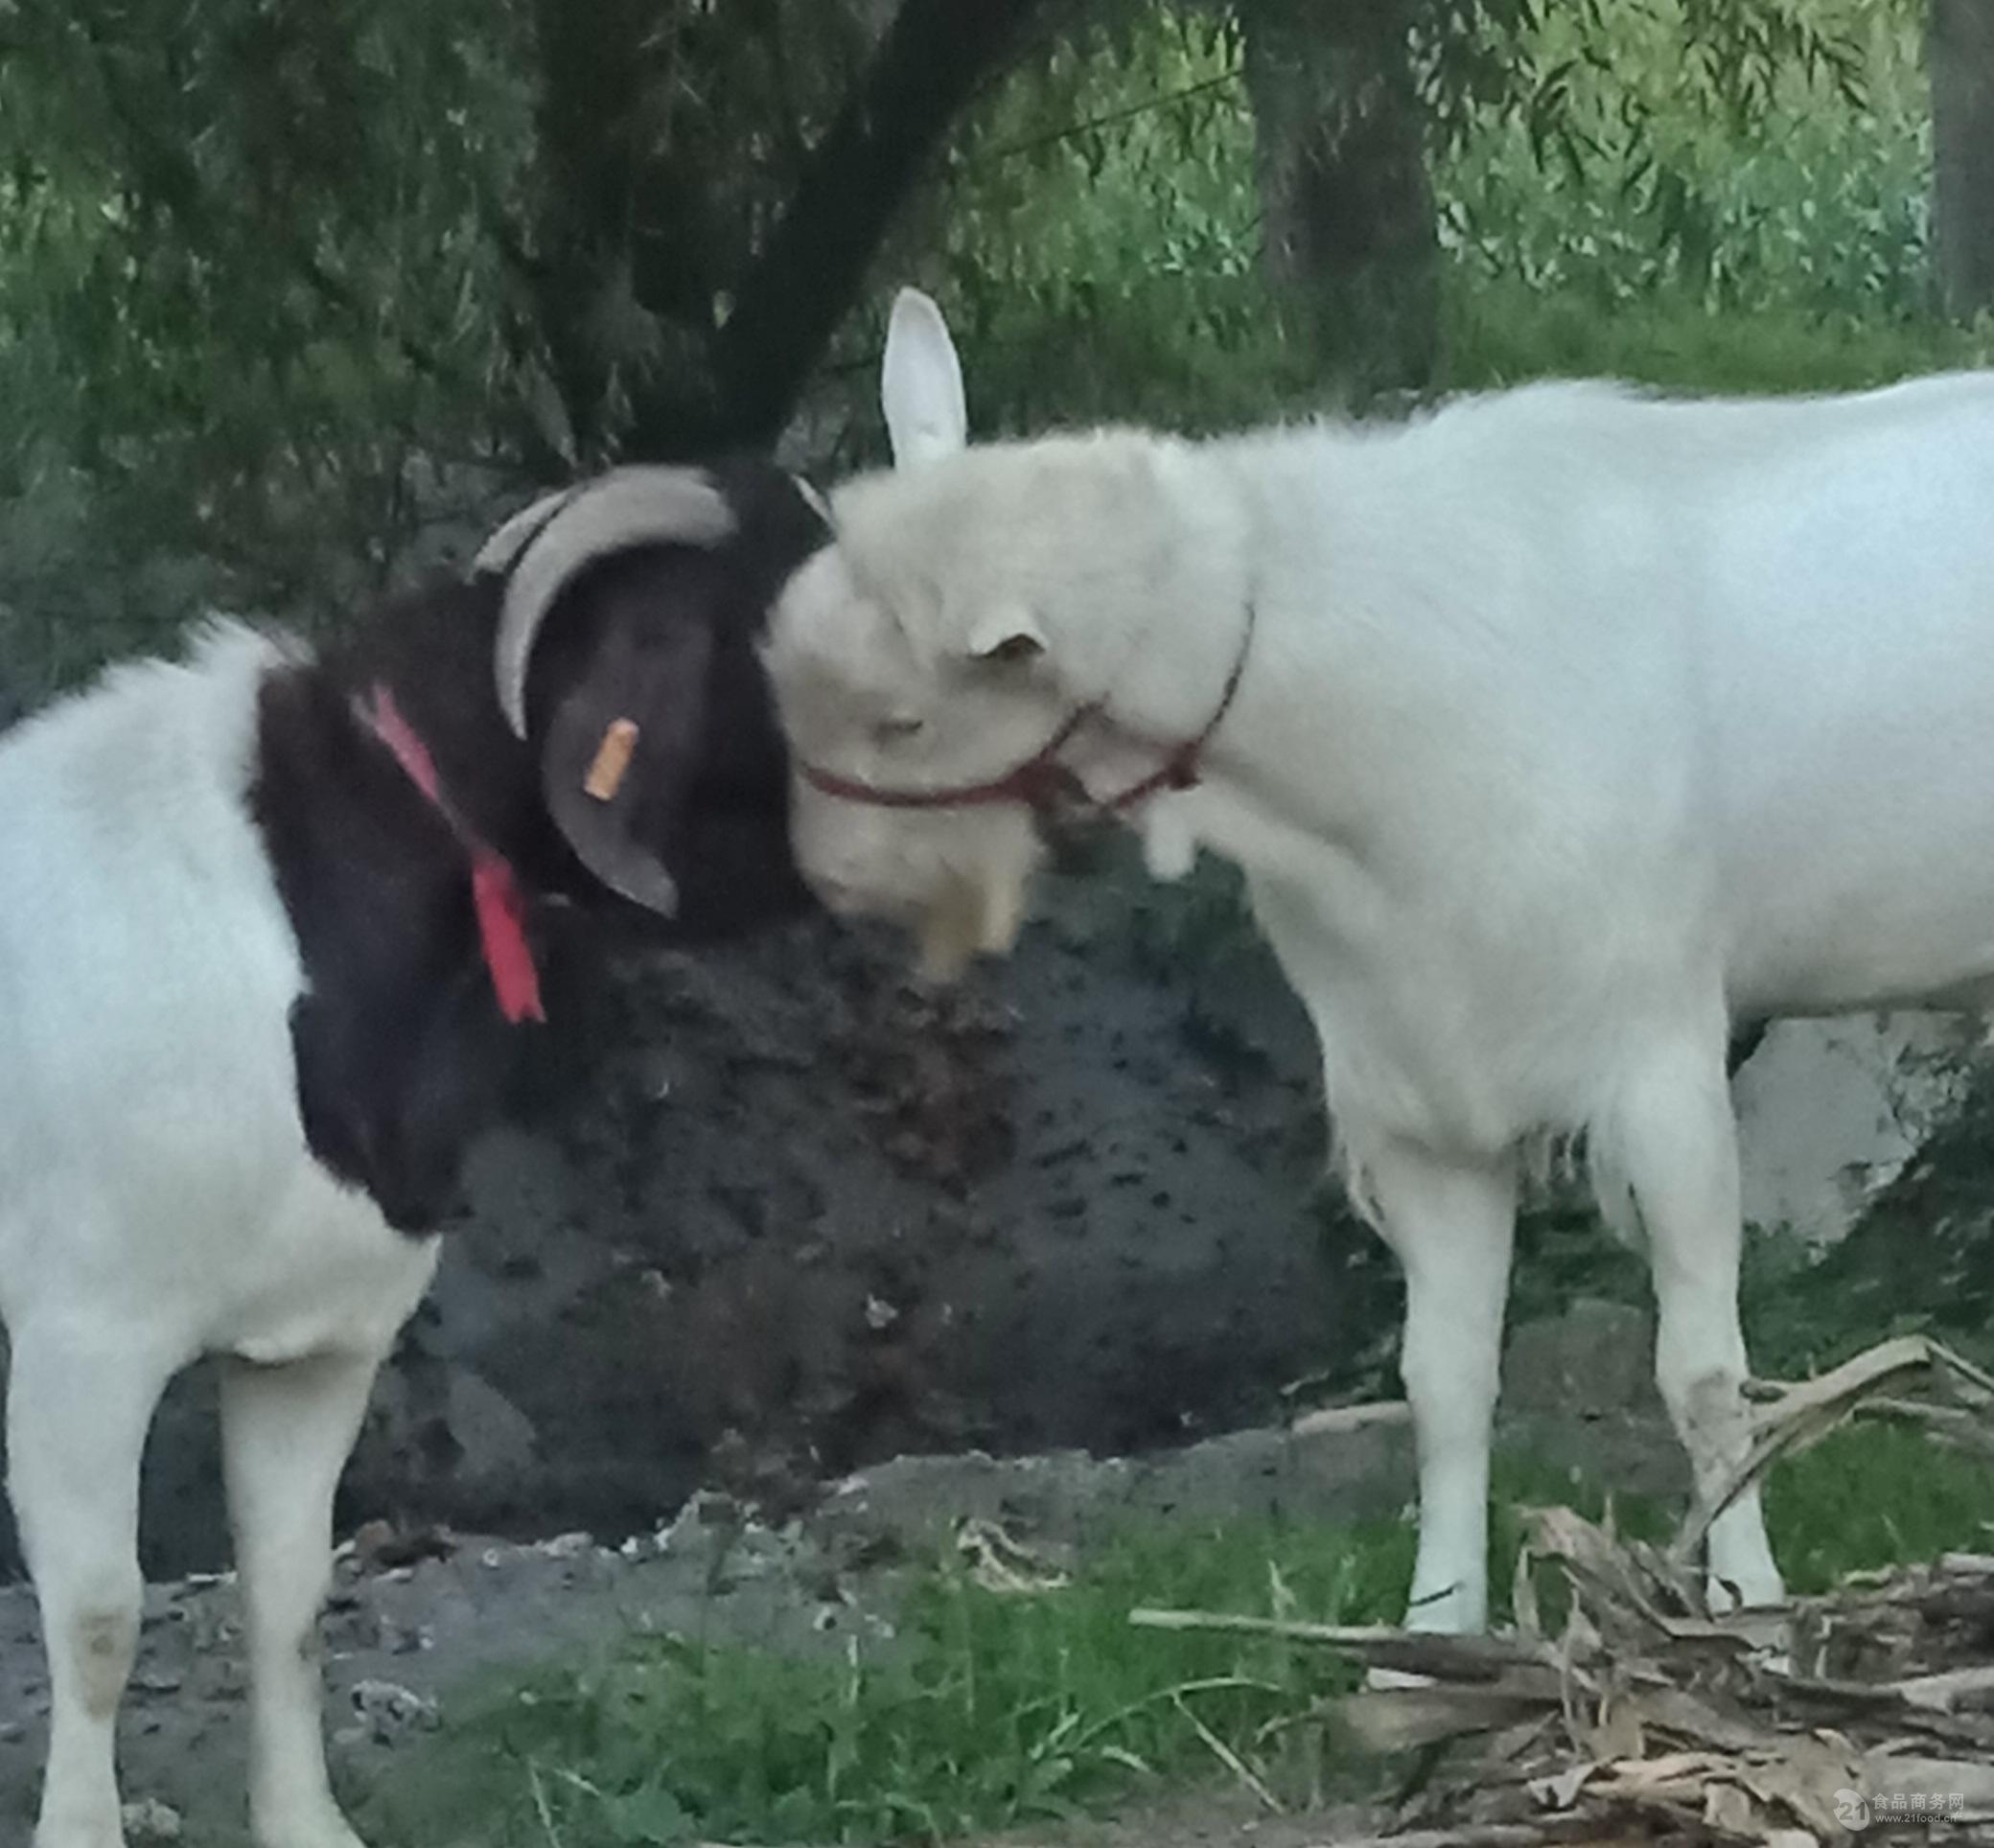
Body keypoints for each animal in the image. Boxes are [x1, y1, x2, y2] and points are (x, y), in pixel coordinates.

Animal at [765, 289, 1994, 1651]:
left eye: (903, 719)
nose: (828, 879)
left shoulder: (1659, 1060)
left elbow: (1705, 1374)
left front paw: (1746, 1603)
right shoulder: (1412, 1094)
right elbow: (1441, 1380)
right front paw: (1435, 1628)